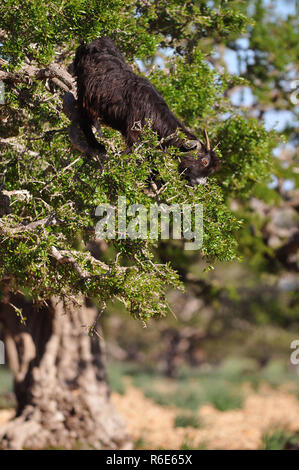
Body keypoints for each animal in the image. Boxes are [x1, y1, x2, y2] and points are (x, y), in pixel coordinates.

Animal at [72, 37, 218, 184]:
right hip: (85, 89)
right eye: (204, 161)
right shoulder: (134, 131)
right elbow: (144, 156)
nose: (200, 183)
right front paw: (157, 181)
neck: (154, 113)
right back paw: (97, 146)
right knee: (83, 117)